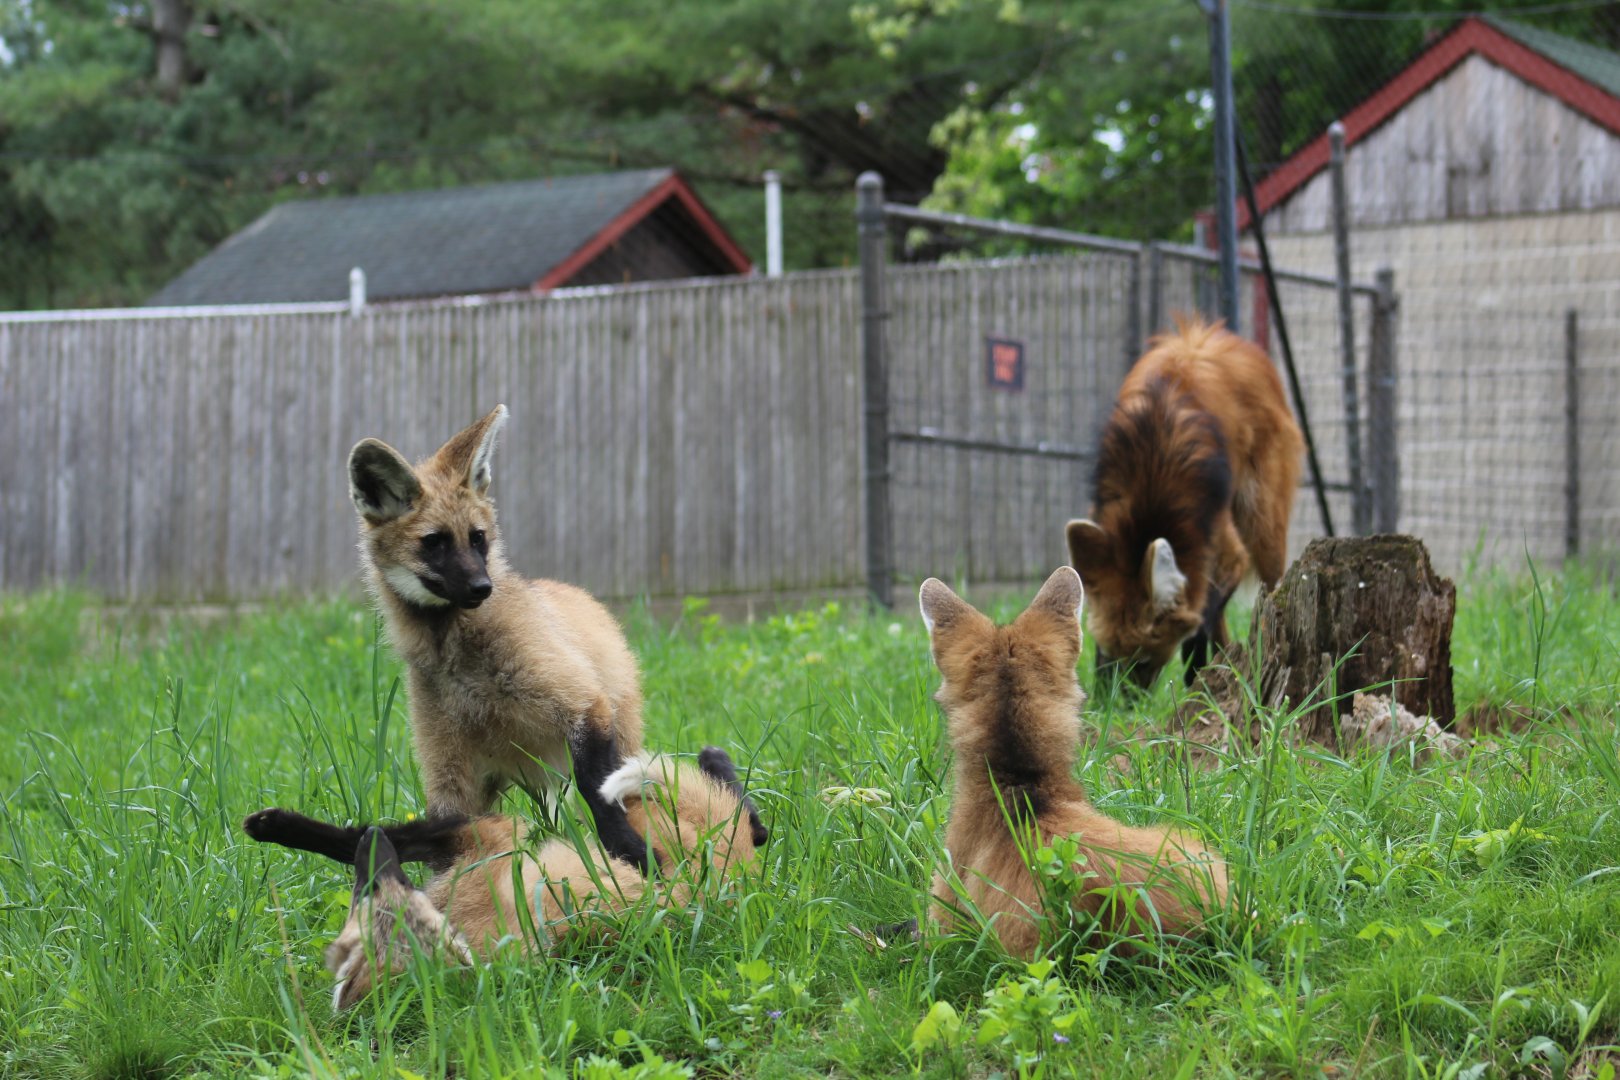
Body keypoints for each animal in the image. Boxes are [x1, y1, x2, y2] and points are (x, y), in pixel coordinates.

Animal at [244, 747, 765, 1011]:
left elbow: (360, 835)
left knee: (731, 804)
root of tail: (713, 891)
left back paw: (717, 762)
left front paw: (277, 825)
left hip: (648, 819)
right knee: (739, 811)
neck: (458, 921)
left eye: (371, 891)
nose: (374, 851)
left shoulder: (489, 837)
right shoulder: (479, 844)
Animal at [346, 404, 654, 870]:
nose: (482, 588)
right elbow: (449, 840)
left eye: (477, 538)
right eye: (434, 543)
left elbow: (598, 792)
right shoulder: (449, 771)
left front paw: (629, 853)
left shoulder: (584, 705)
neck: (456, 658)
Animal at [1066, 318, 1303, 689]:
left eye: (1144, 662)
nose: (1114, 700)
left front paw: (1198, 681)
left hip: (1262, 520)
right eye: (1105, 652)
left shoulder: (1220, 538)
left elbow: (1201, 618)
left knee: (1269, 587)